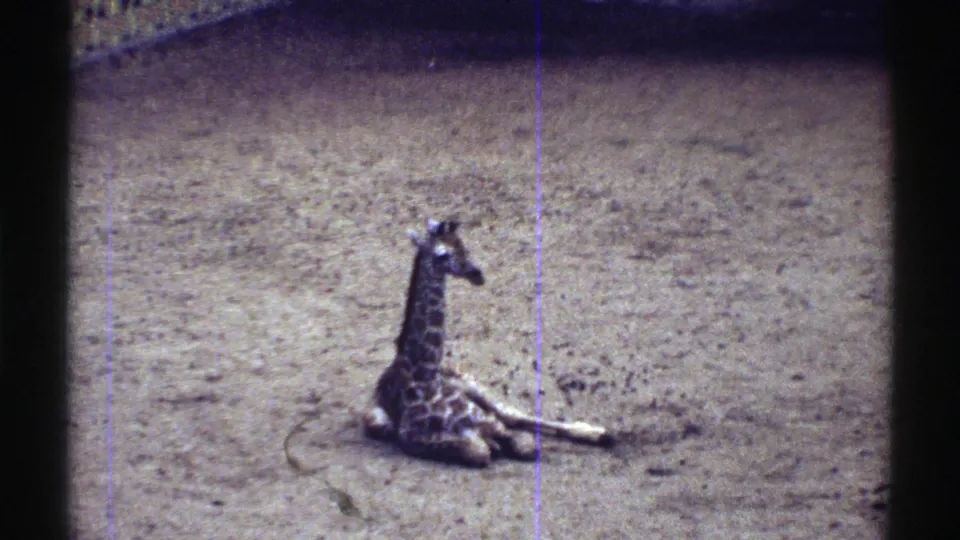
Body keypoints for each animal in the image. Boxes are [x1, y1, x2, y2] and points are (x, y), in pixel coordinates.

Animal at [361, 218, 615, 467]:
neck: (424, 375)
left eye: (463, 246)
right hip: (376, 420)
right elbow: (479, 451)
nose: (477, 274)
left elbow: (523, 444)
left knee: (512, 415)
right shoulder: (414, 438)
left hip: (472, 384)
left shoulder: (489, 422)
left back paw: (600, 433)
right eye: (442, 254)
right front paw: (492, 446)